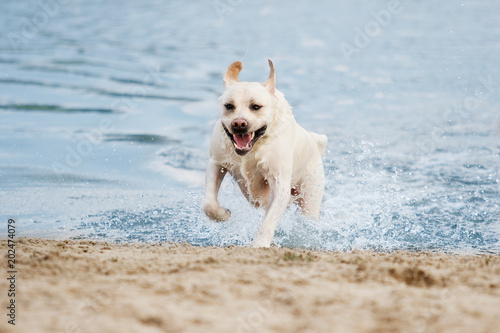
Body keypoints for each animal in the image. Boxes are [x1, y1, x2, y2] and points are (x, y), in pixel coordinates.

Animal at [204, 59, 328, 246]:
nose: (239, 123)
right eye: (229, 106)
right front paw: (223, 214)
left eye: (256, 107)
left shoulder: (279, 182)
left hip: (310, 194)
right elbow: (208, 204)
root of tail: (314, 140)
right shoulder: (216, 163)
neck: (253, 148)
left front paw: (259, 244)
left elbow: (269, 222)